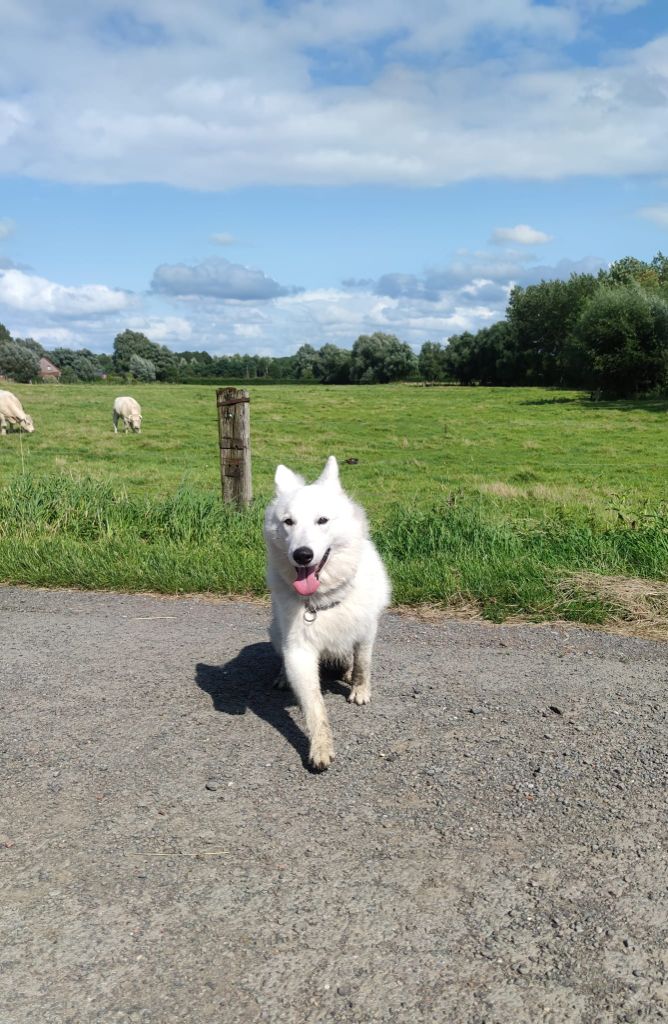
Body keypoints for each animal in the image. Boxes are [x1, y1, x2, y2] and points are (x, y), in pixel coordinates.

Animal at [264, 455, 391, 770]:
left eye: (322, 520)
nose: (302, 555)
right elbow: (314, 706)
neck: (323, 599)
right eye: (288, 522)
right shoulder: (300, 650)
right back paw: (283, 677)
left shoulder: (367, 631)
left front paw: (360, 689)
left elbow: (363, 663)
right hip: (274, 632)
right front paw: (320, 746)